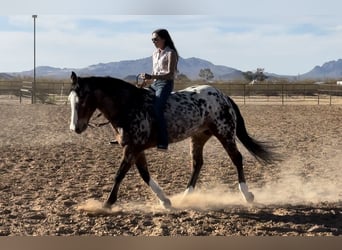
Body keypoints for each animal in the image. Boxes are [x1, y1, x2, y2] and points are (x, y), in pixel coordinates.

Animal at [68, 72, 274, 209]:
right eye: (71, 99)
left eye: (83, 98)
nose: (75, 128)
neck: (129, 106)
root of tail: (223, 96)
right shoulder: (136, 149)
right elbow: (144, 174)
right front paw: (165, 201)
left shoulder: (132, 148)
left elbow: (119, 174)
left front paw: (107, 204)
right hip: (199, 136)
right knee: (197, 163)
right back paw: (185, 196)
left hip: (225, 133)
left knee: (237, 159)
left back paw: (247, 195)